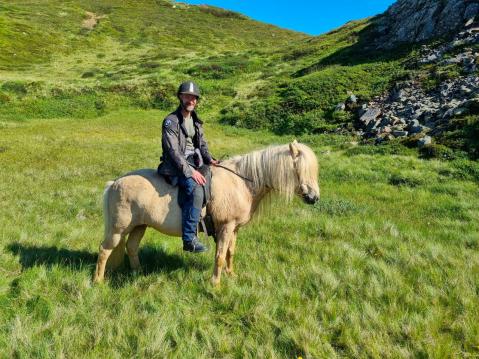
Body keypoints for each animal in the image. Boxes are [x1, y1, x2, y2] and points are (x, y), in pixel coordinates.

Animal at [93, 141, 318, 286]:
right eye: (299, 168)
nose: (314, 197)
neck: (240, 182)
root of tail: (115, 182)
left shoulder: (234, 229)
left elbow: (230, 253)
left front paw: (231, 275)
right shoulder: (225, 227)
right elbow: (219, 256)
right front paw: (215, 284)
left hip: (140, 225)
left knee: (131, 247)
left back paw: (137, 272)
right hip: (118, 228)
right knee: (104, 250)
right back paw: (98, 281)